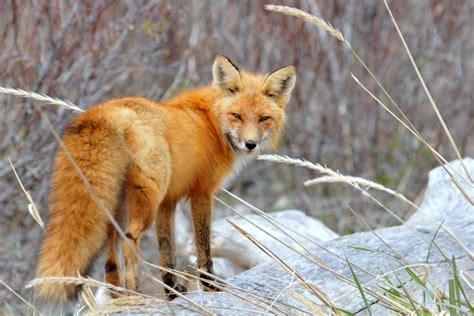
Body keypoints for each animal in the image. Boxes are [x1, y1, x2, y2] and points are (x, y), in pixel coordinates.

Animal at [35, 55, 296, 302]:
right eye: (236, 116)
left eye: (263, 118)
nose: (250, 144)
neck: (210, 123)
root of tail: (105, 113)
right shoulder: (201, 193)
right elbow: (203, 246)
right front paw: (210, 286)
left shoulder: (168, 202)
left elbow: (166, 253)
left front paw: (173, 293)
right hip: (146, 200)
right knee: (129, 240)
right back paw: (135, 294)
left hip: (117, 204)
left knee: (110, 250)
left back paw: (118, 296)